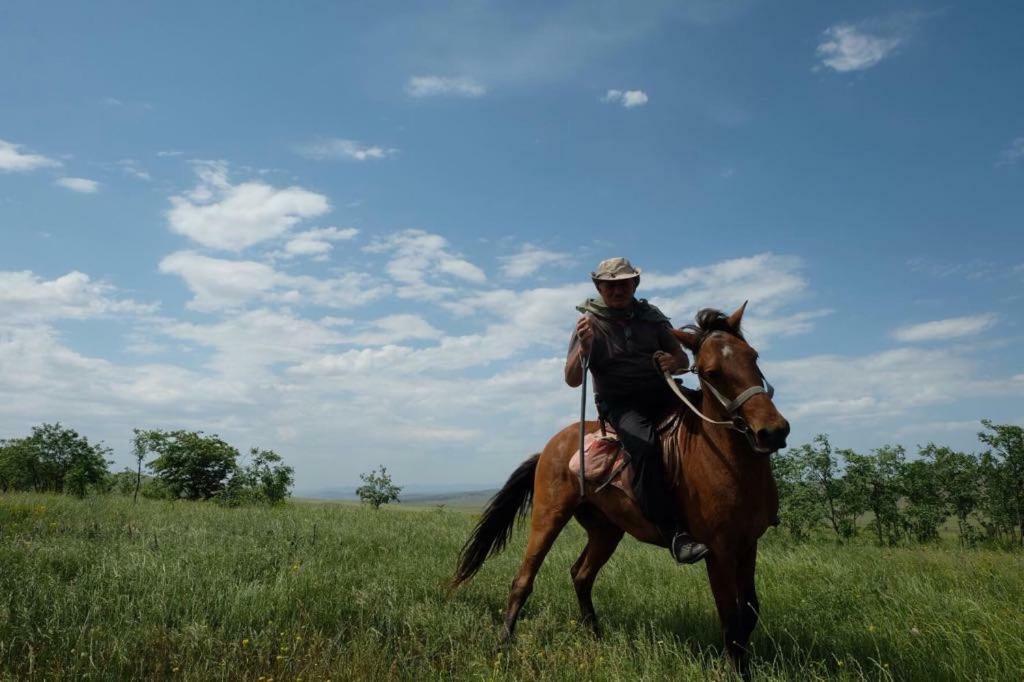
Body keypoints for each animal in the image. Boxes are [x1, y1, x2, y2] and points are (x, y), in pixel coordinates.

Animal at [452, 303, 786, 675]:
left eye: (753, 356)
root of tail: (551, 447)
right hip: (548, 516)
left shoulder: (748, 543)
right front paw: (735, 671)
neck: (724, 459)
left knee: (581, 574)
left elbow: (750, 611)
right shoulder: (719, 551)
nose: (772, 431)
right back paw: (503, 645)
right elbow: (731, 620)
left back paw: (594, 635)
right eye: (711, 372)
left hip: (606, 529)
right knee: (523, 579)